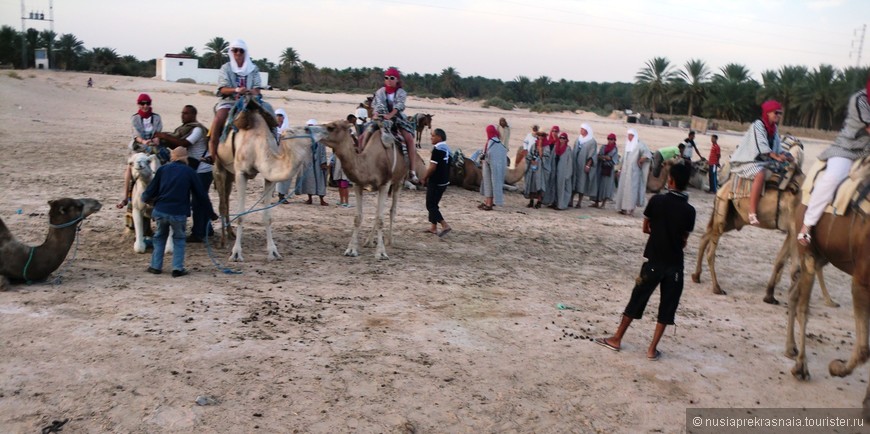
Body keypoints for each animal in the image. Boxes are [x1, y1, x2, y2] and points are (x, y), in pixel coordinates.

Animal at [326, 120, 410, 260]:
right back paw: (368, 241)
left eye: (331, 127)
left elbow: (380, 219)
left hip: (398, 181)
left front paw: (381, 253)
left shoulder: (385, 184)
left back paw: (390, 240)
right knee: (378, 212)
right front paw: (351, 249)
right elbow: (358, 218)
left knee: (392, 210)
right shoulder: (358, 184)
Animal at [792, 198, 870, 416]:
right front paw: (837, 367)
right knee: (802, 307)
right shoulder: (860, 282)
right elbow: (863, 349)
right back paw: (800, 366)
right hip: (808, 250)